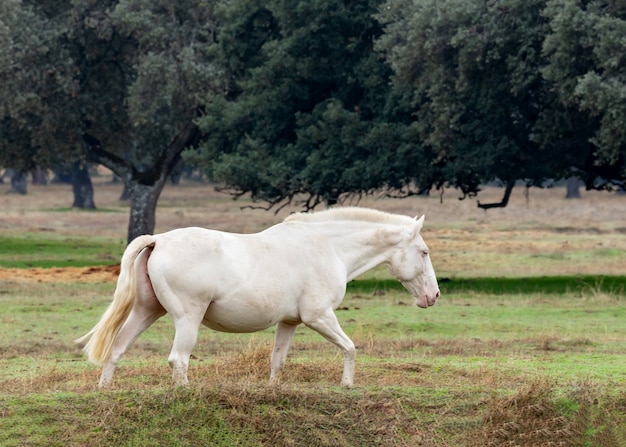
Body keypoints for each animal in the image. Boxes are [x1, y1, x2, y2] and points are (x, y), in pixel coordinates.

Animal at [75, 208, 438, 386]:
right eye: (423, 252)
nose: (433, 295)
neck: (328, 247)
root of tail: (159, 240)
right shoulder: (319, 317)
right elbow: (349, 348)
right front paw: (347, 385)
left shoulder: (290, 323)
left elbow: (277, 361)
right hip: (187, 320)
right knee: (179, 360)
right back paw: (184, 392)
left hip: (146, 312)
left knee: (117, 349)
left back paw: (105, 389)